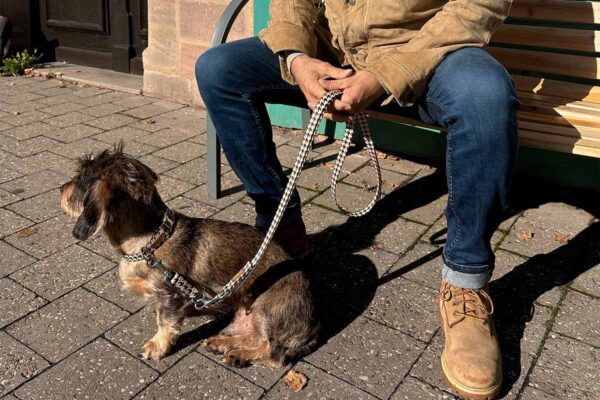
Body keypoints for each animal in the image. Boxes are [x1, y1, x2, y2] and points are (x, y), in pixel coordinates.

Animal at [59, 145, 318, 368]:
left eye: (81, 180)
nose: (60, 189)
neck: (151, 242)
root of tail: (315, 323)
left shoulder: (171, 296)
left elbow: (165, 323)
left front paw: (157, 346)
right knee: (253, 337)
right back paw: (222, 343)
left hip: (266, 310)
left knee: (274, 354)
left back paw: (241, 356)